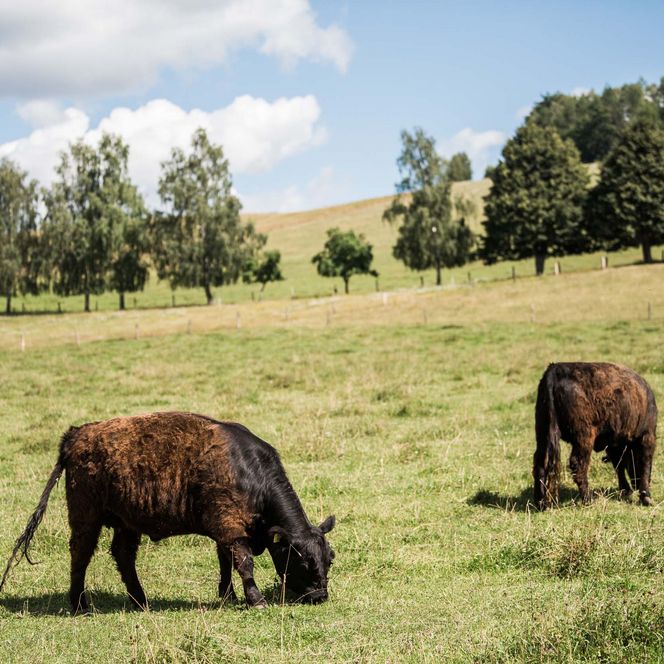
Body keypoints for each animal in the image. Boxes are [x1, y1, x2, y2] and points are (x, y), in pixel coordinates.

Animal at [0, 412, 336, 614]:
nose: (320, 596)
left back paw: (140, 599)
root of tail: (76, 434)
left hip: (126, 523)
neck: (247, 469)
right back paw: (80, 603)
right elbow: (244, 563)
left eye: (329, 558)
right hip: (86, 517)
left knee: (123, 556)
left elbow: (225, 563)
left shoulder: (223, 529)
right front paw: (255, 599)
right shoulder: (229, 525)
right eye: (302, 560)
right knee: (80, 556)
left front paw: (228, 595)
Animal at [533, 362, 657, 510]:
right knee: (578, 465)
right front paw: (646, 496)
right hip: (584, 438)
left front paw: (626, 490)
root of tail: (555, 369)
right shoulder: (647, 436)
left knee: (540, 463)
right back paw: (588, 499)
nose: (635, 484)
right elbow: (645, 464)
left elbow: (619, 466)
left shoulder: (614, 445)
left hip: (543, 434)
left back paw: (539, 502)